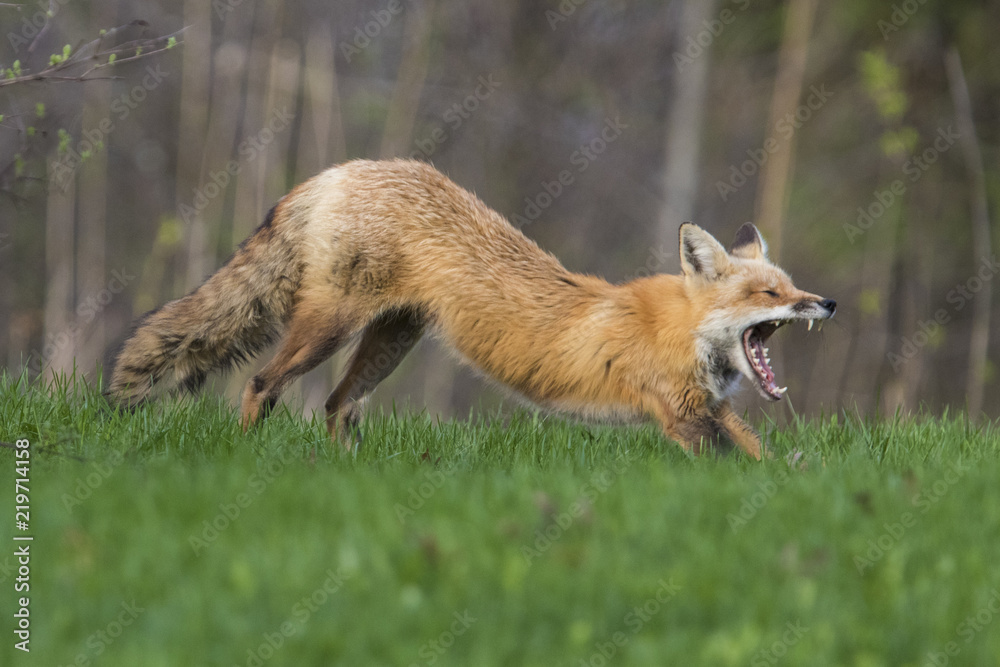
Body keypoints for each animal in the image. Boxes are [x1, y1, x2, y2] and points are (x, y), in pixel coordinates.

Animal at [107, 159, 835, 460]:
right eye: (768, 295)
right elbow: (736, 467)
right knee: (262, 384)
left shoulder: (710, 410)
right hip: (329, 327)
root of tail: (340, 169)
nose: (826, 302)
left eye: (789, 286)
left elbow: (769, 458)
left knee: (336, 404)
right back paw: (247, 459)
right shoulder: (680, 417)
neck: (680, 332)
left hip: (391, 340)